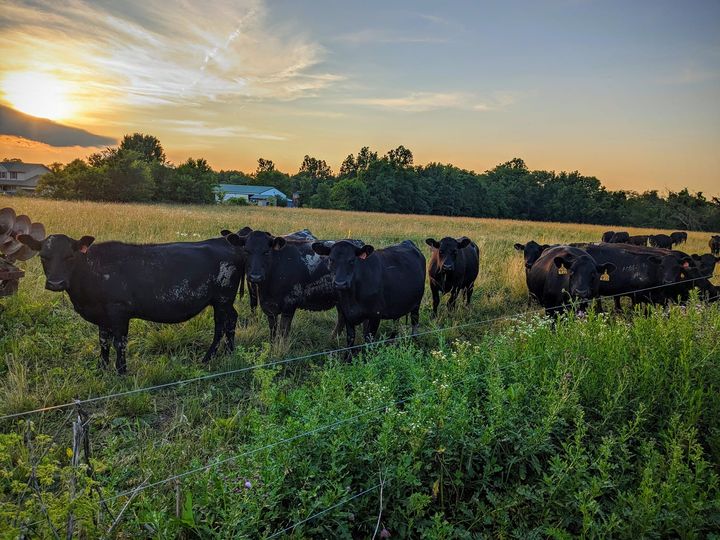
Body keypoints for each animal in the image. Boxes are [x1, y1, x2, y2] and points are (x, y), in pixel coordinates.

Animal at [19, 232, 245, 376]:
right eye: (43, 257)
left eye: (69, 256)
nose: (55, 283)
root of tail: (225, 242)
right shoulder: (102, 316)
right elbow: (103, 341)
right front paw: (102, 368)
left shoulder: (119, 312)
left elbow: (120, 343)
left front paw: (121, 371)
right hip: (224, 301)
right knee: (232, 319)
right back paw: (229, 352)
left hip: (222, 299)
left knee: (220, 326)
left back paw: (209, 357)